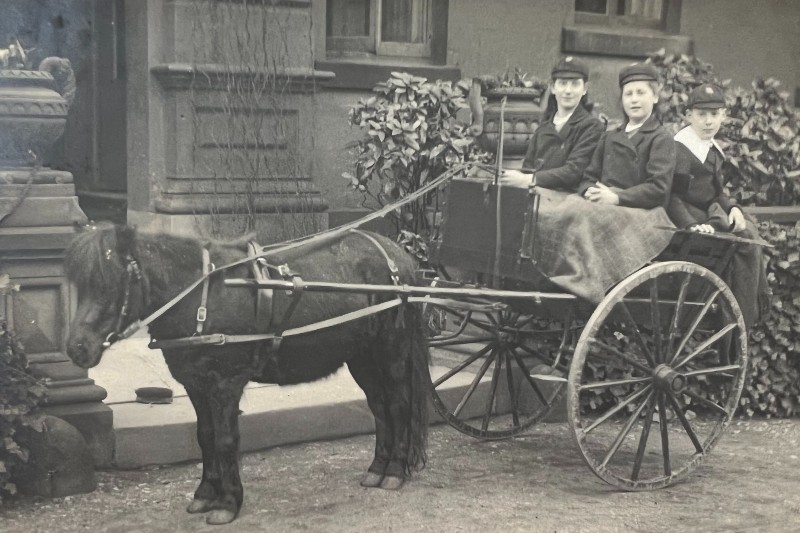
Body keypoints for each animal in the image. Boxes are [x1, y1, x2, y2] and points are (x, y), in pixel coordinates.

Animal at [67, 223, 432, 524]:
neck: (202, 296)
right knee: (380, 409)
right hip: (362, 357)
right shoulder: (196, 384)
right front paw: (205, 494)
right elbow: (205, 437)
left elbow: (226, 440)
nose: (76, 348)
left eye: (109, 283)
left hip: (391, 351)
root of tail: (401, 258)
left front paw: (228, 502)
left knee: (398, 406)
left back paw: (395, 471)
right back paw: (376, 469)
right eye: (78, 285)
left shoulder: (226, 383)